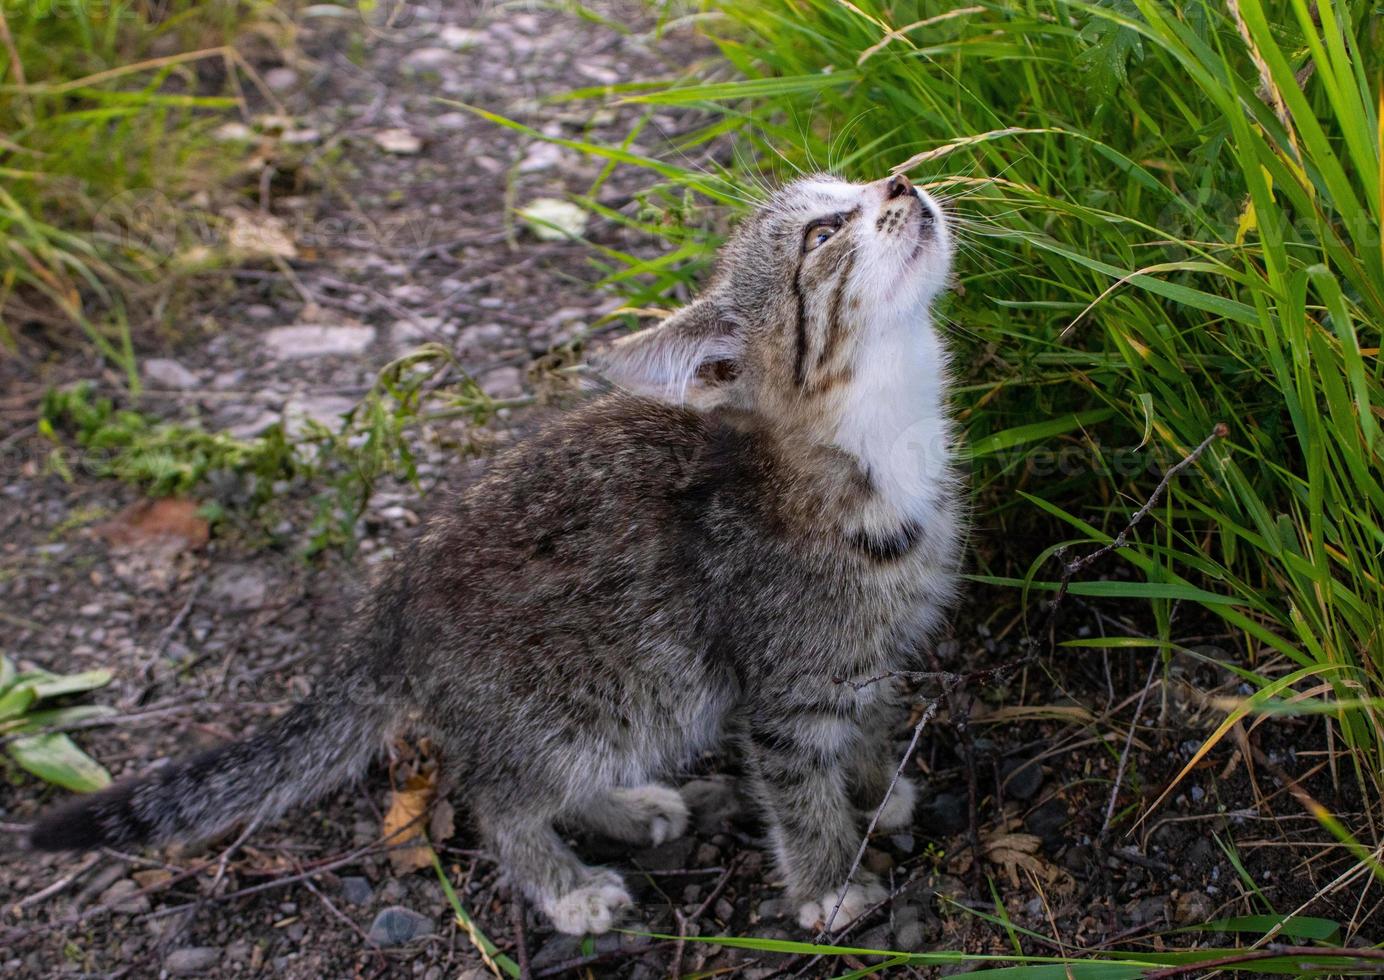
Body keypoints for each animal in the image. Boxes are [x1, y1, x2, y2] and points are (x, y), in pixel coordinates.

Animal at [29, 172, 963, 935]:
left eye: (861, 183)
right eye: (823, 232)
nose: (901, 179)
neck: (881, 441)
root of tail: (388, 611)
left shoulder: (868, 652)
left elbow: (869, 718)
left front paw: (878, 789)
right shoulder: (783, 683)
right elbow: (798, 786)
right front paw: (827, 881)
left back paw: (630, 810)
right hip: (603, 690)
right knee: (499, 798)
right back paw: (564, 883)